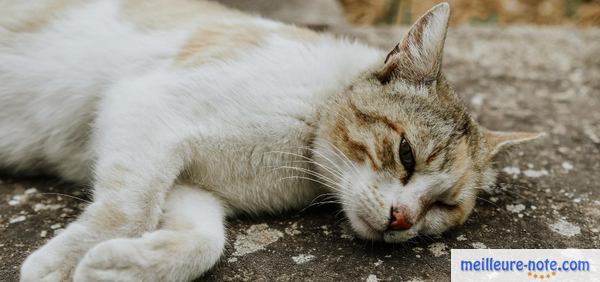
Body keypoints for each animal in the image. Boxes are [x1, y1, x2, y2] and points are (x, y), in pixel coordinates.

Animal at [0, 0, 540, 282]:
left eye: (444, 206)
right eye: (406, 154)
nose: (402, 219)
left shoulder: (188, 181)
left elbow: (204, 241)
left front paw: (118, 265)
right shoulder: (145, 109)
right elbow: (129, 212)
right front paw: (59, 266)